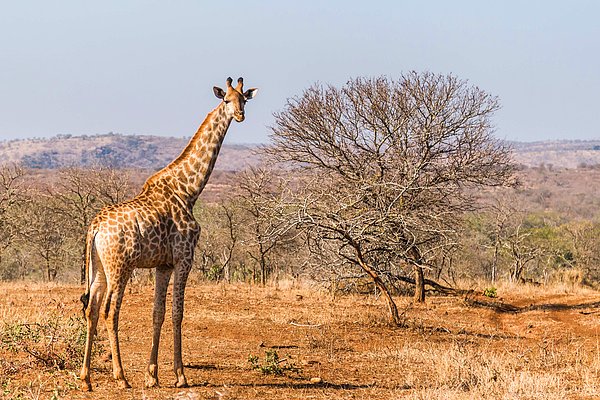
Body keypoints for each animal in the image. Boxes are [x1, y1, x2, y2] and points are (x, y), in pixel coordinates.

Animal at [79, 76, 258, 390]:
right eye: (226, 100)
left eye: (244, 99)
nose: (240, 115)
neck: (189, 191)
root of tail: (95, 227)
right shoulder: (184, 258)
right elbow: (178, 313)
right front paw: (180, 376)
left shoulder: (162, 264)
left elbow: (158, 313)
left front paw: (152, 375)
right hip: (120, 267)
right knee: (110, 311)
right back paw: (121, 376)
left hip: (98, 267)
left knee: (91, 309)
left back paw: (86, 378)